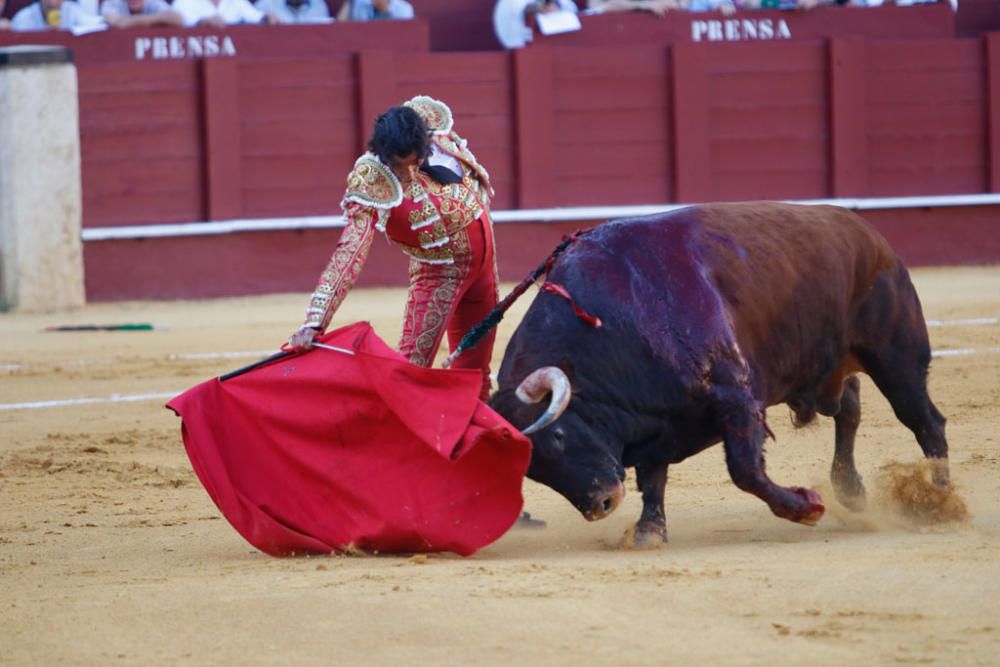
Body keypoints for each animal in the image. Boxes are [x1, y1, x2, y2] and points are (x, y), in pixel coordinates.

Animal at [488, 204, 948, 548]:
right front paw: (648, 532)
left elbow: (745, 469)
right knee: (848, 406)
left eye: (559, 434)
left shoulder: (735, 395)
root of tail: (868, 234)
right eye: (533, 469)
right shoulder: (658, 420)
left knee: (925, 420)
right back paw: (851, 490)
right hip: (828, 367)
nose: (601, 503)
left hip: (896, 356)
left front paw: (808, 506)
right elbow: (653, 477)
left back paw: (941, 499)